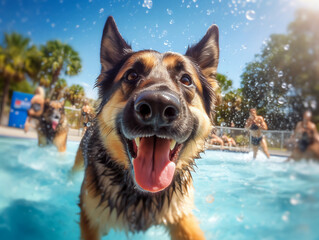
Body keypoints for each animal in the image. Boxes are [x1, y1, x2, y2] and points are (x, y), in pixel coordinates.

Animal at [73, 15, 220, 239]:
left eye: (186, 79)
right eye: (131, 75)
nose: (158, 105)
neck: (142, 194)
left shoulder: (180, 214)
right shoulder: (90, 216)